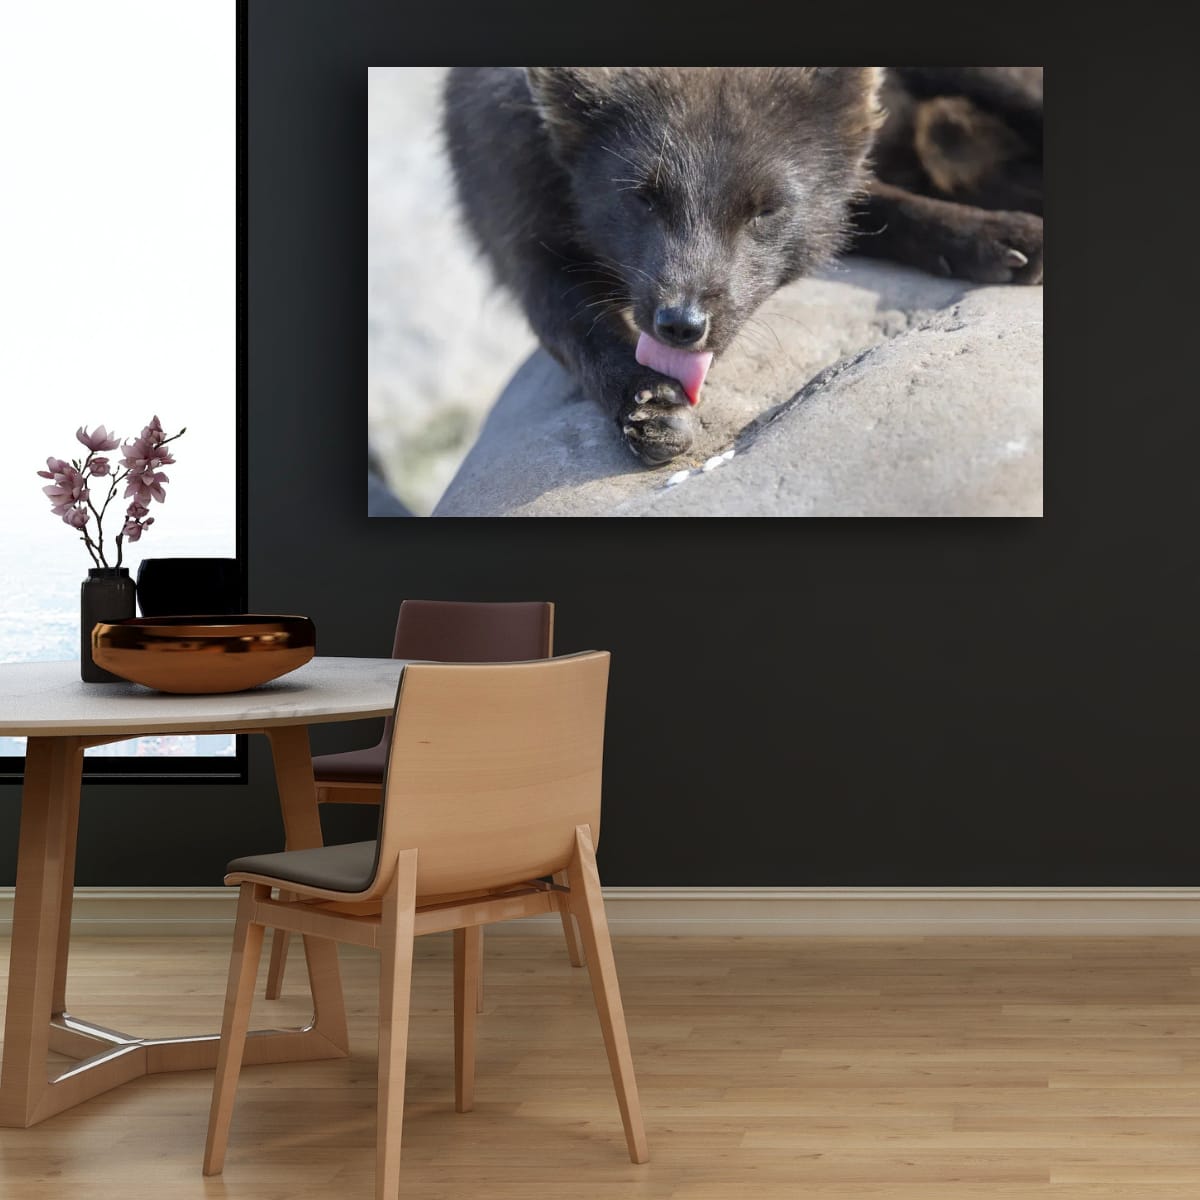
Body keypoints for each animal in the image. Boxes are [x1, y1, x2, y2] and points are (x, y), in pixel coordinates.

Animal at [442, 67, 1043, 467]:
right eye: (642, 198)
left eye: (766, 210)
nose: (681, 326)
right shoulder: (520, 238)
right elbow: (578, 331)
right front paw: (647, 403)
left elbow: (870, 206)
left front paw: (997, 236)